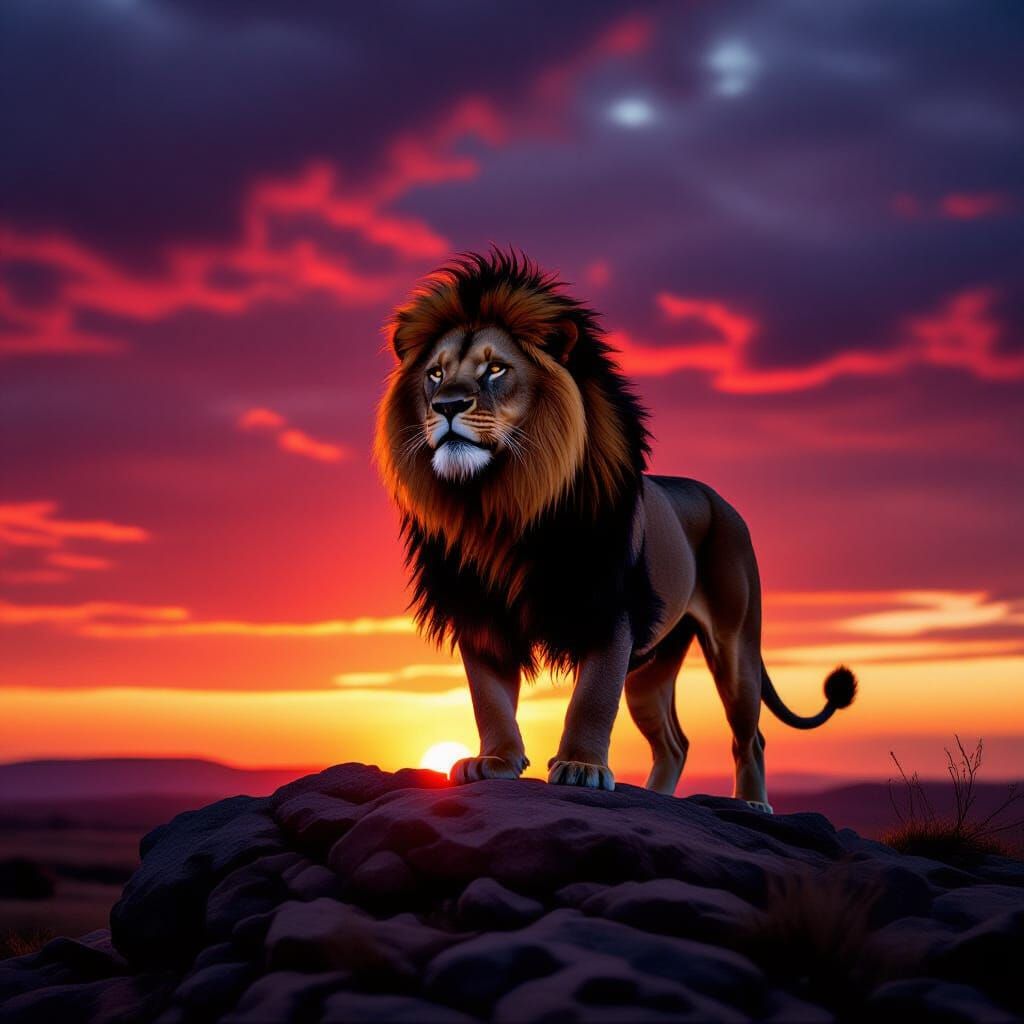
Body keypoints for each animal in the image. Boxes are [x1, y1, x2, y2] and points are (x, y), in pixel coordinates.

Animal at [375, 249, 855, 811]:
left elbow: (592, 698)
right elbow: (488, 697)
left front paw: (582, 768)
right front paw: (494, 761)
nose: (447, 406)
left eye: (496, 369)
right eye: (434, 374)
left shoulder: (612, 606)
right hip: (653, 666)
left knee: (749, 733)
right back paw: (657, 797)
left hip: (735, 644)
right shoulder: (480, 610)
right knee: (675, 741)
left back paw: (752, 804)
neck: (500, 504)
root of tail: (721, 501)